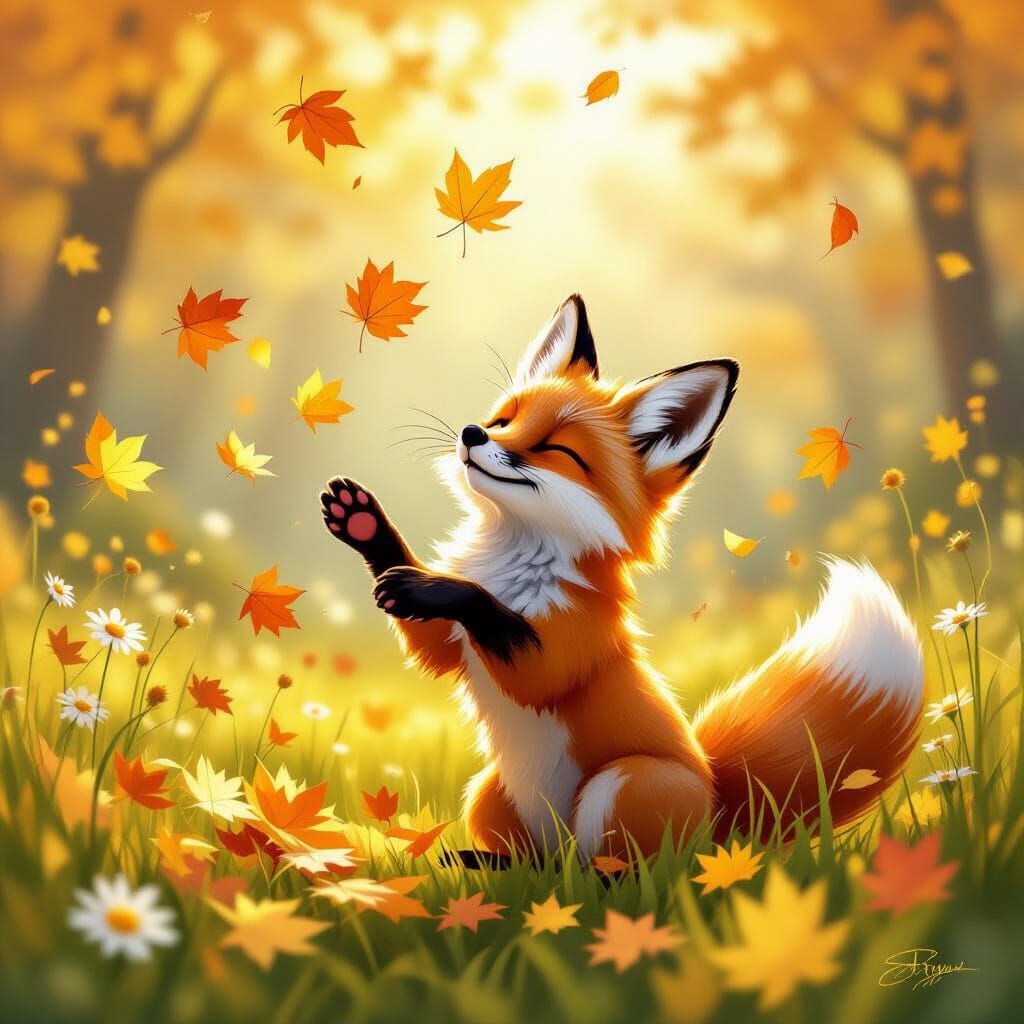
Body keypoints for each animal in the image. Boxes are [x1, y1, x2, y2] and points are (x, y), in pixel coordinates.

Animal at [320, 294, 924, 860]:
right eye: (503, 420)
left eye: (554, 448)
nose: (471, 433)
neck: (513, 562)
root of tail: (718, 812)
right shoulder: (454, 649)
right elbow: (431, 642)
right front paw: (364, 523)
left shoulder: (566, 642)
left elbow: (497, 624)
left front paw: (429, 586)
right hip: (489, 793)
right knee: (537, 866)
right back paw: (482, 864)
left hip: (622, 784)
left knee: (619, 873)